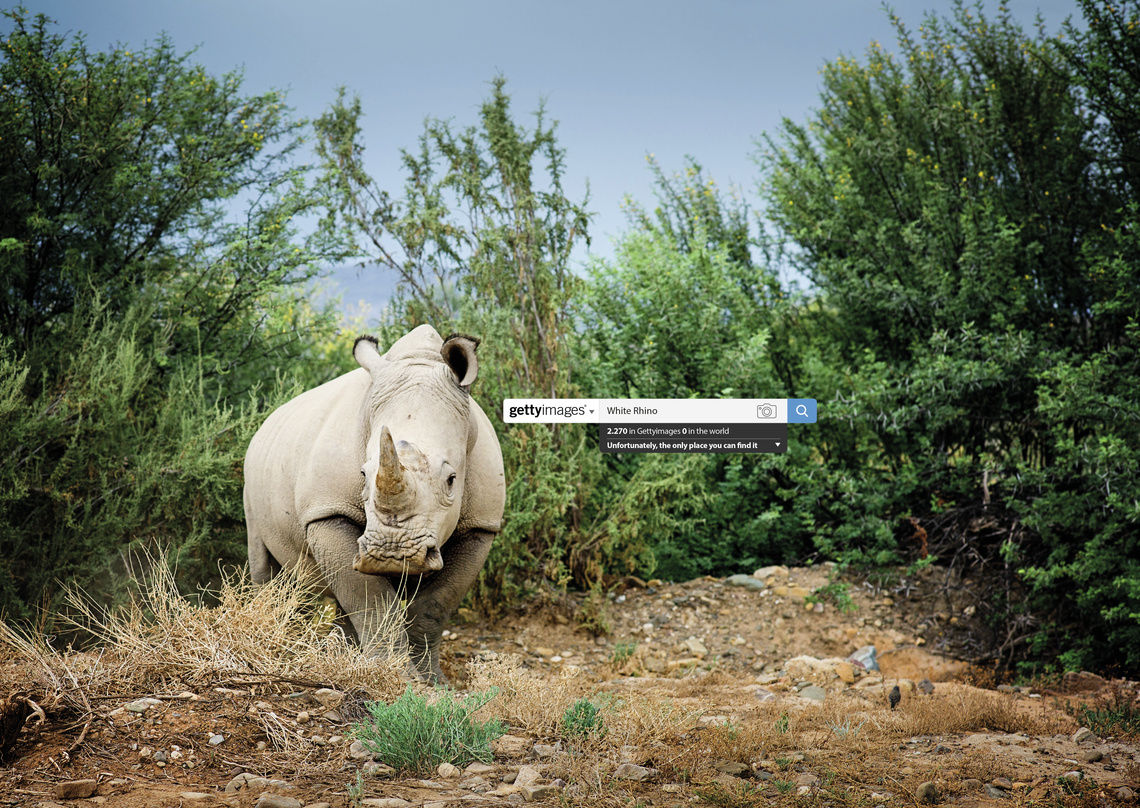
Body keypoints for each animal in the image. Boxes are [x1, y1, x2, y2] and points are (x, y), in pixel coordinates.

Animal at [245, 321, 503, 679]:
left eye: (452, 480)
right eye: (363, 475)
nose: (392, 554)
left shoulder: (481, 525)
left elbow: (435, 605)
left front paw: (433, 681)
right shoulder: (327, 510)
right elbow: (369, 598)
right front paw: (398, 676)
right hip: (251, 471)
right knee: (265, 564)